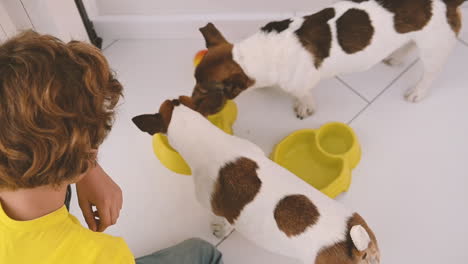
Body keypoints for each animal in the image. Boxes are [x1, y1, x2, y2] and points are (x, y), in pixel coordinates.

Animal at [192, 0, 466, 118]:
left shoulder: (301, 84)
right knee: (407, 45)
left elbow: (303, 96)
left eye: (204, 91)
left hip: (433, 48)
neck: (253, 54)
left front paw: (304, 107)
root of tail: (448, 2)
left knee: (430, 73)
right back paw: (396, 58)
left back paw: (417, 91)